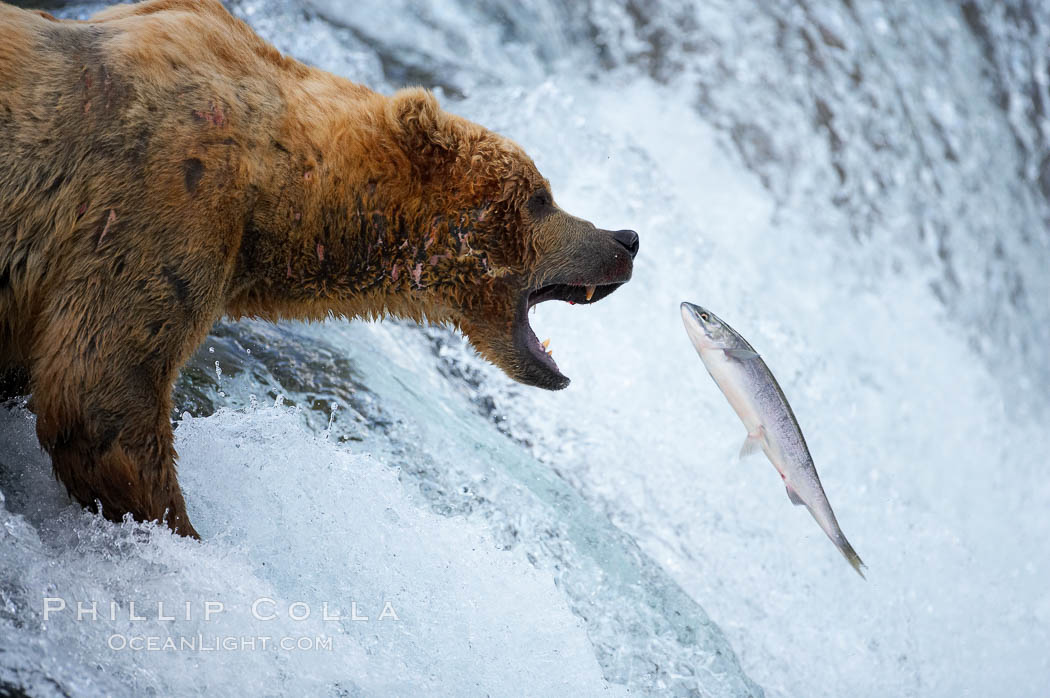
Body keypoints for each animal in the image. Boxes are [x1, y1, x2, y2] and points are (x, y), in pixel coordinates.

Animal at [0, 0, 638, 537]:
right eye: (541, 197)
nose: (626, 239)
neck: (279, 193)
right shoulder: (160, 202)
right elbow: (100, 391)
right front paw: (181, 531)